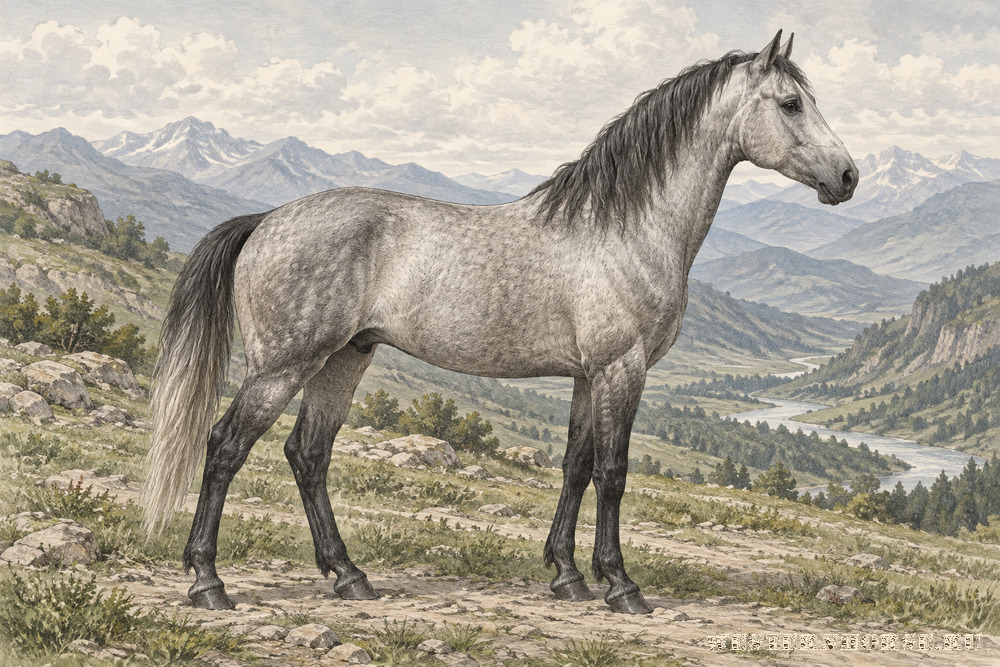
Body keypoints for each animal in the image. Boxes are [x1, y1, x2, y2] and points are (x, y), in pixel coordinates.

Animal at [142, 30, 857, 615]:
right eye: (791, 103)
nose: (847, 177)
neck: (622, 227)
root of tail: (266, 219)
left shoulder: (586, 375)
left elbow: (575, 466)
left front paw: (567, 576)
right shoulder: (620, 369)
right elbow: (614, 472)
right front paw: (620, 585)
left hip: (344, 357)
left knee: (308, 455)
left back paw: (349, 576)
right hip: (283, 365)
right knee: (225, 447)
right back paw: (208, 583)